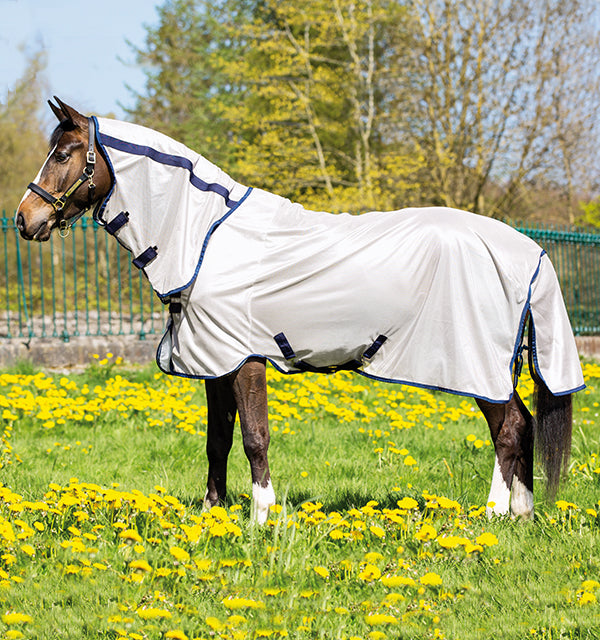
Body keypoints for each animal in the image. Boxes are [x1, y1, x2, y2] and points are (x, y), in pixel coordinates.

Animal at [16, 98, 584, 524]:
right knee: (524, 425)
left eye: (65, 153)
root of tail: (527, 249)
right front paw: (213, 515)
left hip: (479, 365)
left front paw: (262, 517)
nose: (25, 218)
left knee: (507, 430)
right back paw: (521, 514)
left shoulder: (243, 359)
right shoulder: (214, 361)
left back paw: (492, 514)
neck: (206, 237)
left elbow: (254, 438)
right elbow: (217, 440)